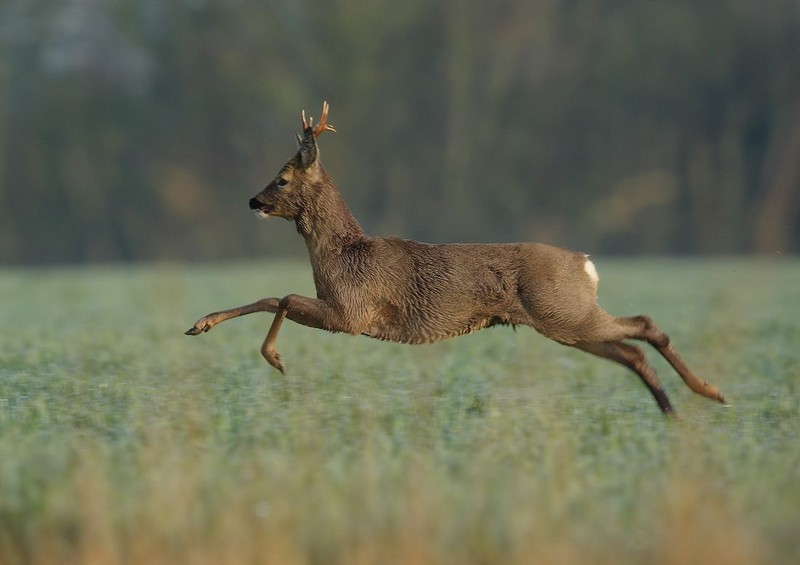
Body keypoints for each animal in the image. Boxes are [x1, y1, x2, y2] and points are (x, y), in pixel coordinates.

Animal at [186, 101, 724, 414]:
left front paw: (272, 357)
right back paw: (674, 407)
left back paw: (706, 393)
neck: (342, 255)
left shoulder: (353, 313)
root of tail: (585, 263)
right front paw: (201, 324)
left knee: (645, 326)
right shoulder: (344, 313)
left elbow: (280, 296)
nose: (252, 201)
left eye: (281, 178)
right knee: (631, 349)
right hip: (565, 321)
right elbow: (272, 295)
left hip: (564, 312)